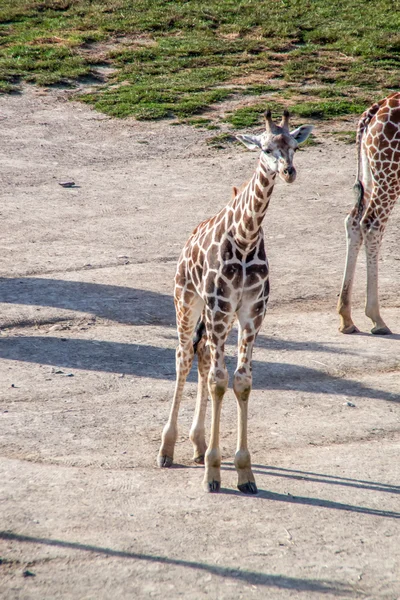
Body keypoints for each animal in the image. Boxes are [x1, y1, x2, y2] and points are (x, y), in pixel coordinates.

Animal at [156, 110, 312, 494]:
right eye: (266, 148)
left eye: (295, 146)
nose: (289, 172)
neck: (245, 237)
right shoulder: (218, 307)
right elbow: (218, 381)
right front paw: (213, 472)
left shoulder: (252, 312)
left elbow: (241, 381)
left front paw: (244, 472)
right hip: (187, 301)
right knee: (183, 357)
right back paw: (167, 449)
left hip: (217, 318)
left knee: (201, 355)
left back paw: (197, 445)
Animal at [338, 92, 400, 336]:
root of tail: (374, 110)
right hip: (389, 174)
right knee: (372, 225)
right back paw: (377, 318)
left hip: (371, 171)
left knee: (353, 220)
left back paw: (346, 317)